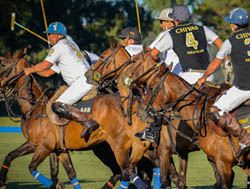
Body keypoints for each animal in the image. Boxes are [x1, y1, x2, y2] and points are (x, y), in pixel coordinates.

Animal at [0, 49, 155, 189]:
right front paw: (2, 184)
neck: (35, 106)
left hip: (117, 147)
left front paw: (57, 185)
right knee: (128, 172)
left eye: (2, 64)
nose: (0, 87)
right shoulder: (49, 147)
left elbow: (33, 168)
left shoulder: (44, 146)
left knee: (125, 173)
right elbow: (66, 172)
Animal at [85, 43, 223, 188]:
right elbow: (174, 179)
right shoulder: (166, 152)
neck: (134, 108)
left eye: (102, 56)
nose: (87, 74)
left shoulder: (145, 147)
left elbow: (138, 172)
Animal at [123, 54, 250, 188]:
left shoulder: (160, 150)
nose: (140, 113)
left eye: (151, 87)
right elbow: (179, 180)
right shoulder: (180, 152)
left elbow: (162, 178)